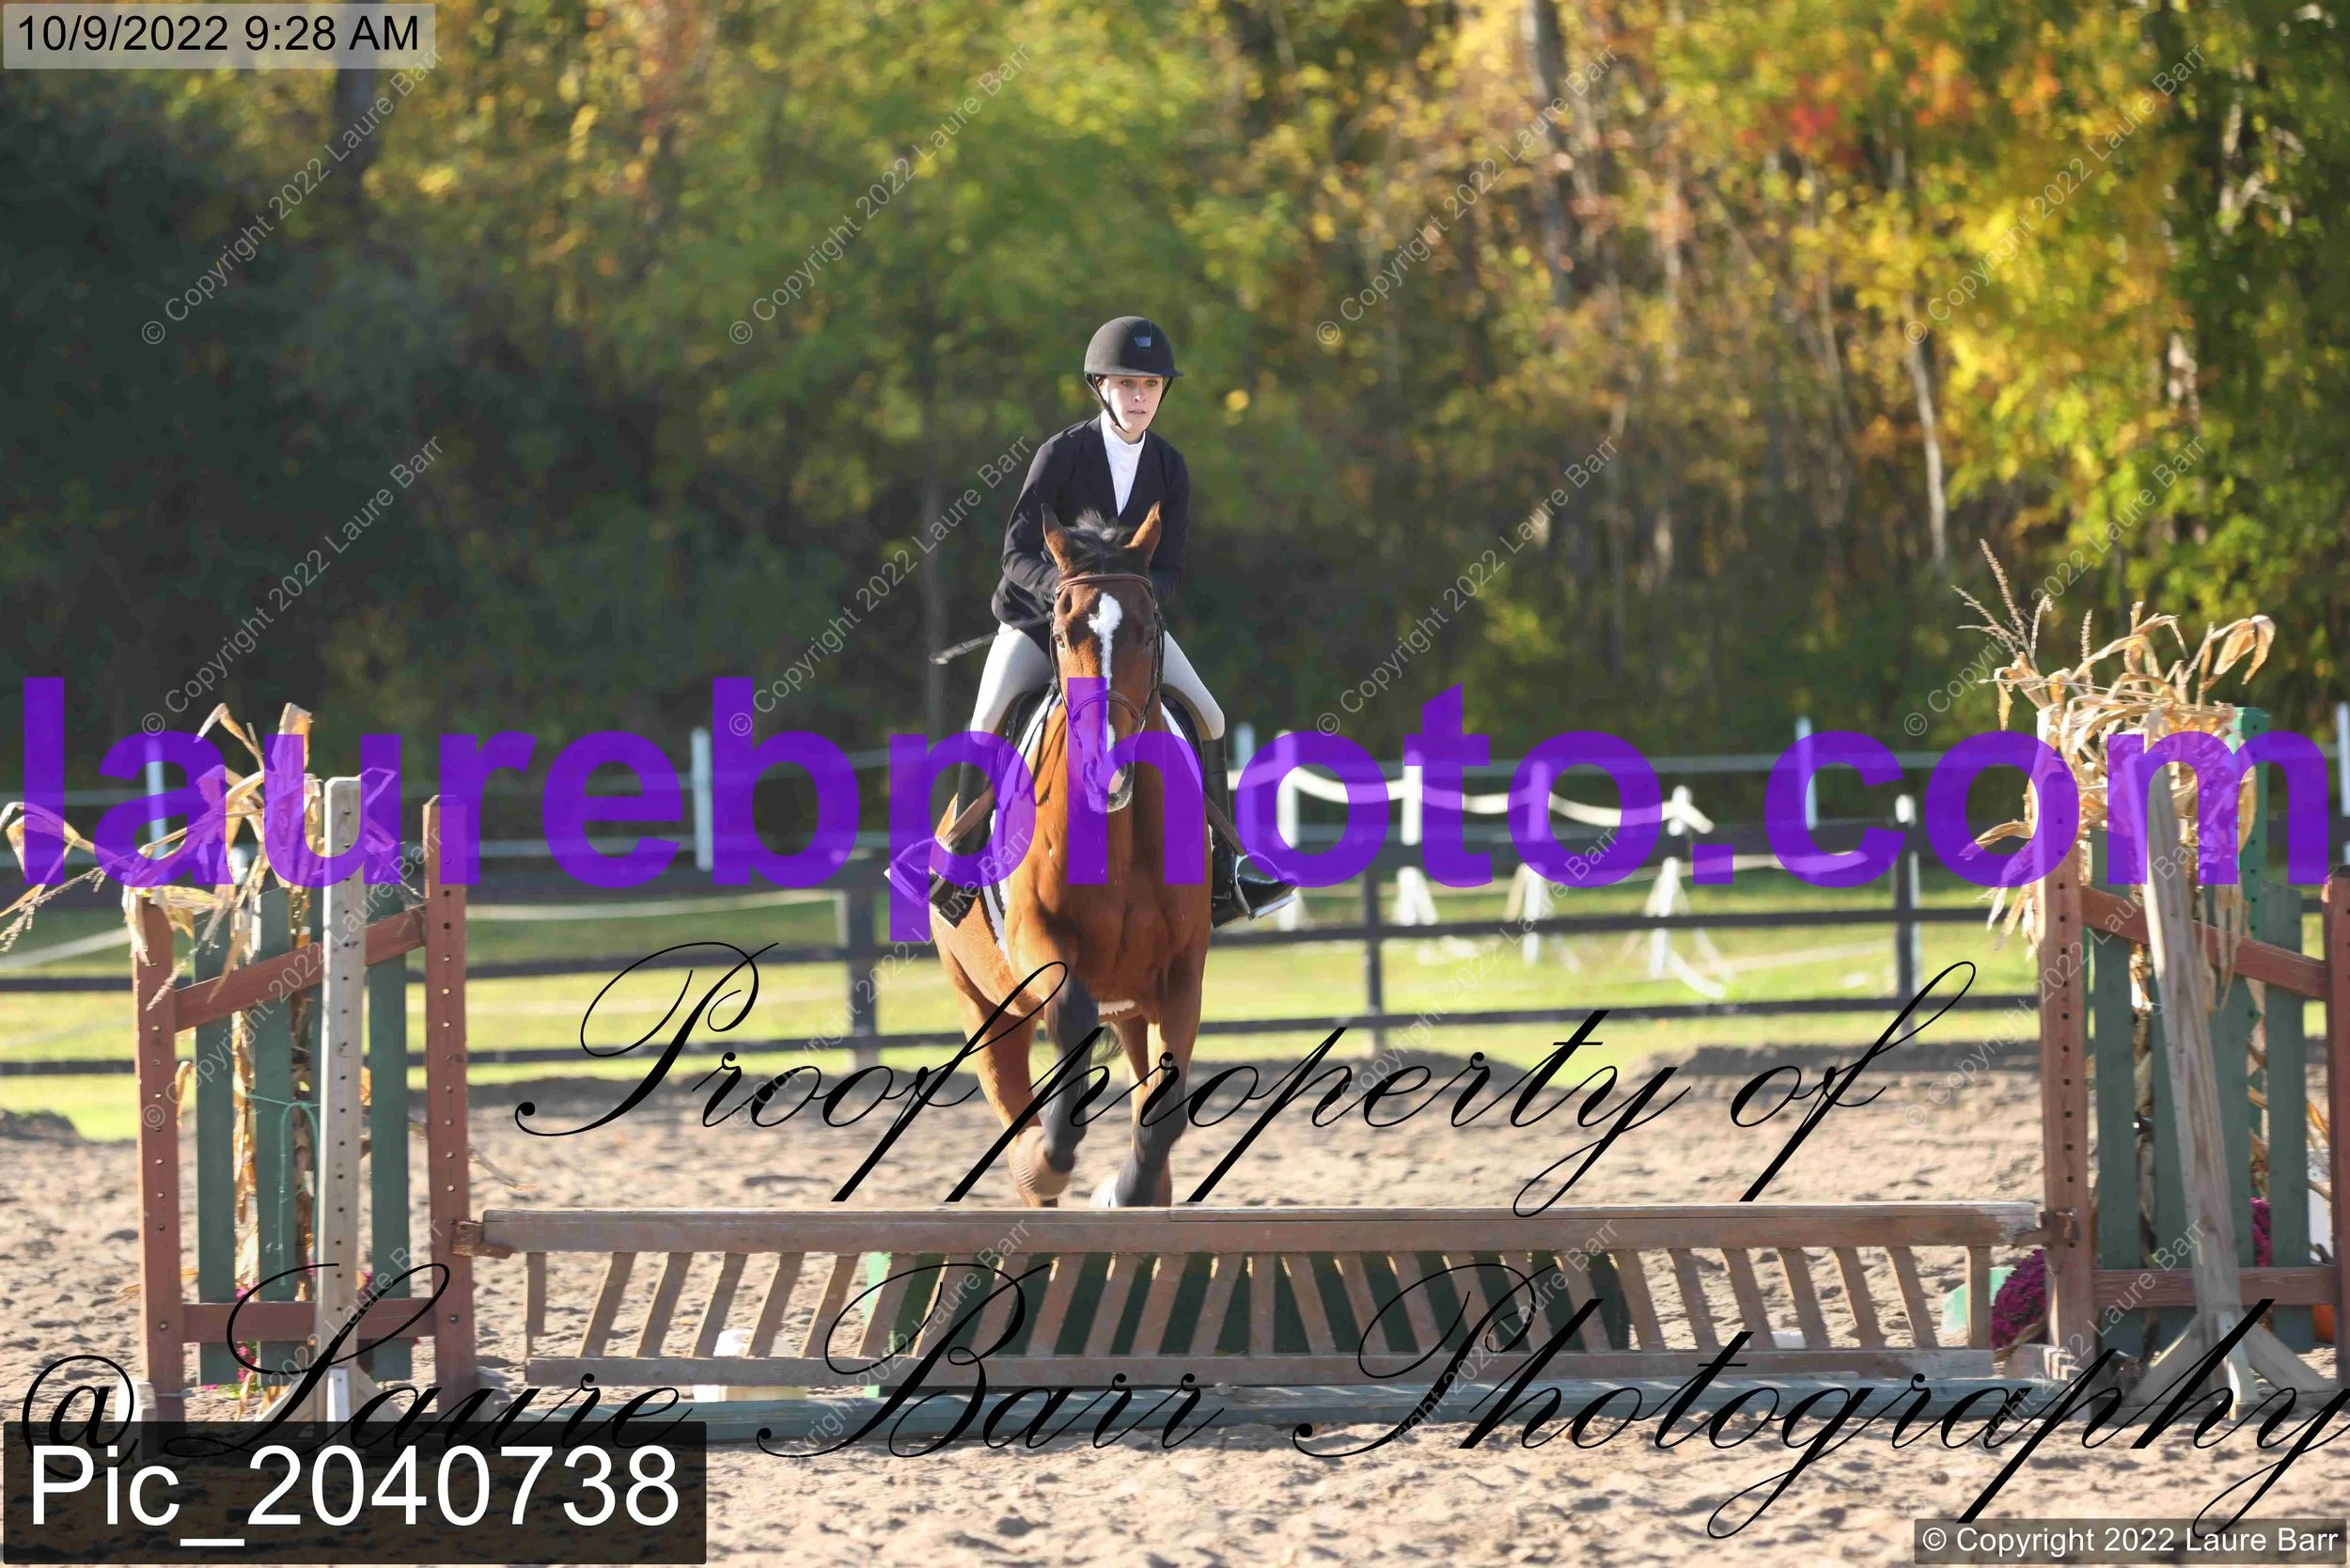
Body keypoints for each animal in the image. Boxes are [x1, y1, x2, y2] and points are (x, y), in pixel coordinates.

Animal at [928, 504, 1209, 1207]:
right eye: (1059, 632)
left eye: (1147, 629)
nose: (1105, 768)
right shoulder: (1037, 942)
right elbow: (1073, 1017)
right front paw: (1048, 1158)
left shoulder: (1180, 976)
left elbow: (1163, 1113)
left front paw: (1128, 1190)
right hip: (985, 1010)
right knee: (1013, 1096)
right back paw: (1035, 1164)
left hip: (1133, 1010)